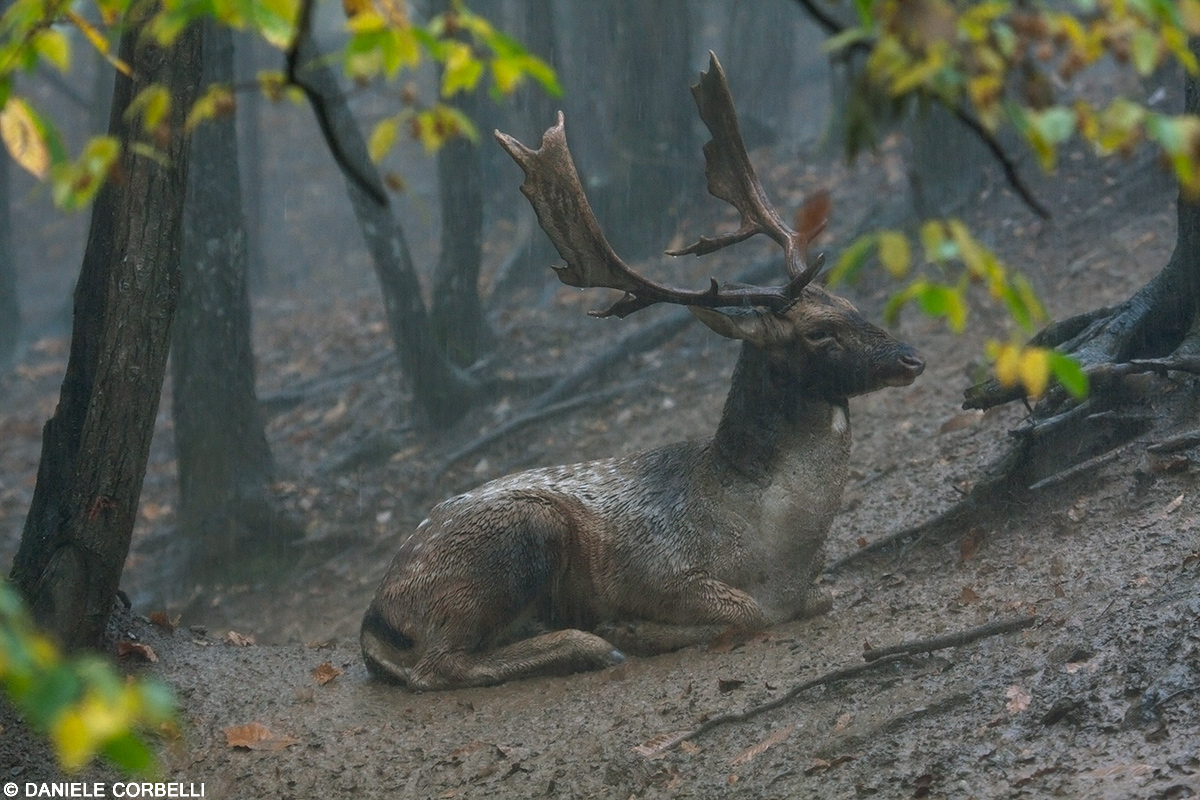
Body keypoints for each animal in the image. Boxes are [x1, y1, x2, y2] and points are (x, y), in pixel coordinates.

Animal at [360, 53, 921, 690]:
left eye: (852, 304)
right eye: (819, 331)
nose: (911, 357)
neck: (776, 549)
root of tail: (375, 617)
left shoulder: (810, 582)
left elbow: (818, 597)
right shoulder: (657, 568)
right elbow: (747, 610)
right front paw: (634, 628)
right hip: (516, 536)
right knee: (439, 665)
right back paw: (589, 643)